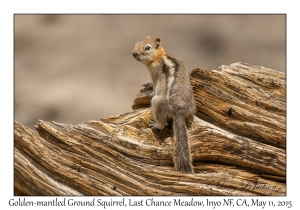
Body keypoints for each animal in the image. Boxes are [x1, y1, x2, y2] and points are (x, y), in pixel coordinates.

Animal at [132, 36, 196, 173]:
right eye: (136, 43)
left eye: (147, 48)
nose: (133, 53)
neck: (160, 56)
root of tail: (179, 112)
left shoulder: (154, 74)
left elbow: (154, 87)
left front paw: (149, 90)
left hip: (156, 103)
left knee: (163, 124)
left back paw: (155, 124)